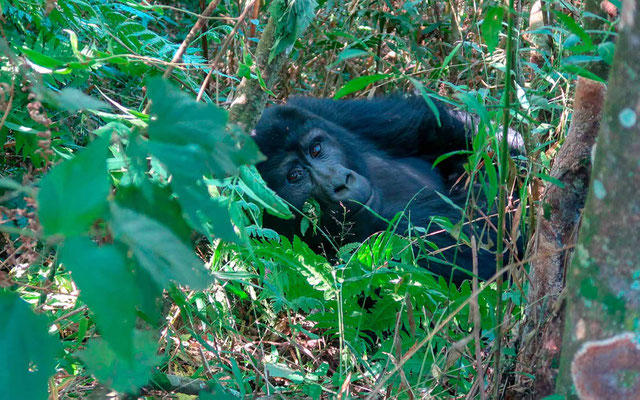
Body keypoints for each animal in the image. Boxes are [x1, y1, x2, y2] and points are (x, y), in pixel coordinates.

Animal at [250, 96, 520, 284]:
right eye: (294, 176)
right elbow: (476, 236)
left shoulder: (324, 112)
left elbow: (433, 123)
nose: (341, 182)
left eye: (316, 149)